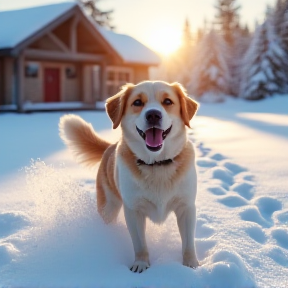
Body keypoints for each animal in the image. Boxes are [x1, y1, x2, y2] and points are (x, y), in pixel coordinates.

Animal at [58, 80, 198, 272]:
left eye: (167, 101)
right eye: (137, 102)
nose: (153, 115)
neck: (156, 165)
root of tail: (110, 146)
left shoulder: (186, 207)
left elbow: (188, 243)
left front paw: (191, 265)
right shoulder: (133, 210)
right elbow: (140, 244)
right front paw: (141, 264)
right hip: (108, 207)